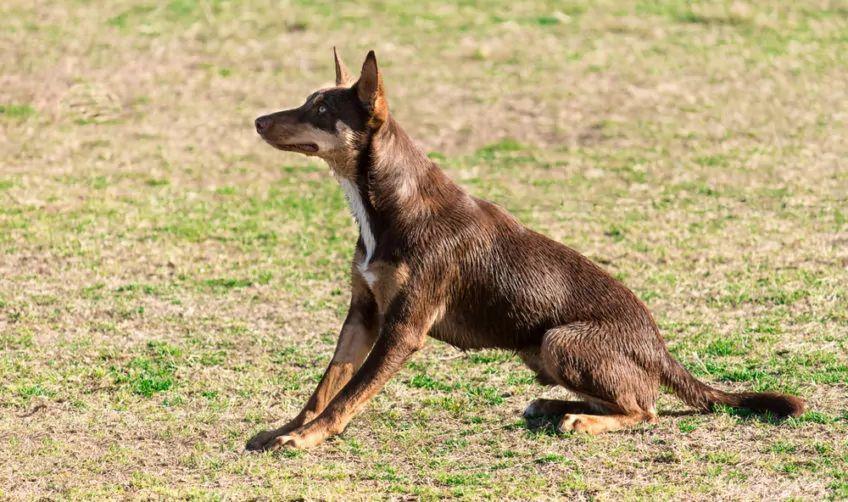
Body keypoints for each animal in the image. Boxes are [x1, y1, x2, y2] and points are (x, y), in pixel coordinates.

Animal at [243, 50, 800, 452]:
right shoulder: (362, 314)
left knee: (646, 408)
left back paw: (577, 419)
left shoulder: (403, 328)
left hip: (560, 339)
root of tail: (661, 349)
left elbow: (349, 395)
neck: (387, 202)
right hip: (541, 350)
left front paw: (308, 438)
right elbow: (324, 387)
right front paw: (286, 429)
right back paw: (553, 407)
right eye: (307, 101)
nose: (257, 121)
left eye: (320, 111)